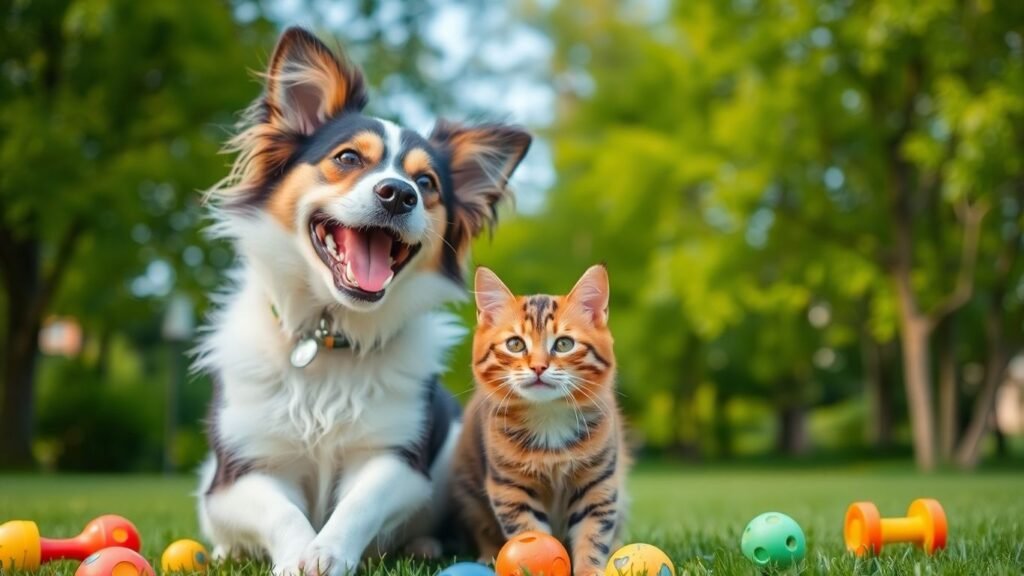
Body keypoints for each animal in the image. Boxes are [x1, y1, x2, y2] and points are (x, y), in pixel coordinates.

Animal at [192, 28, 532, 573]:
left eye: (427, 183)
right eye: (348, 158)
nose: (399, 194)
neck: (330, 336)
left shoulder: (396, 458)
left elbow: (359, 504)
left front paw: (327, 553)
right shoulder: (239, 472)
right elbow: (281, 512)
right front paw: (297, 554)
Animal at [454, 264, 626, 573]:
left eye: (564, 344)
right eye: (515, 344)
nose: (538, 367)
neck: (548, 417)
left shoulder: (599, 483)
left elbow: (593, 536)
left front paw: (590, 569)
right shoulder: (510, 487)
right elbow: (528, 533)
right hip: (468, 488)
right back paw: (487, 555)